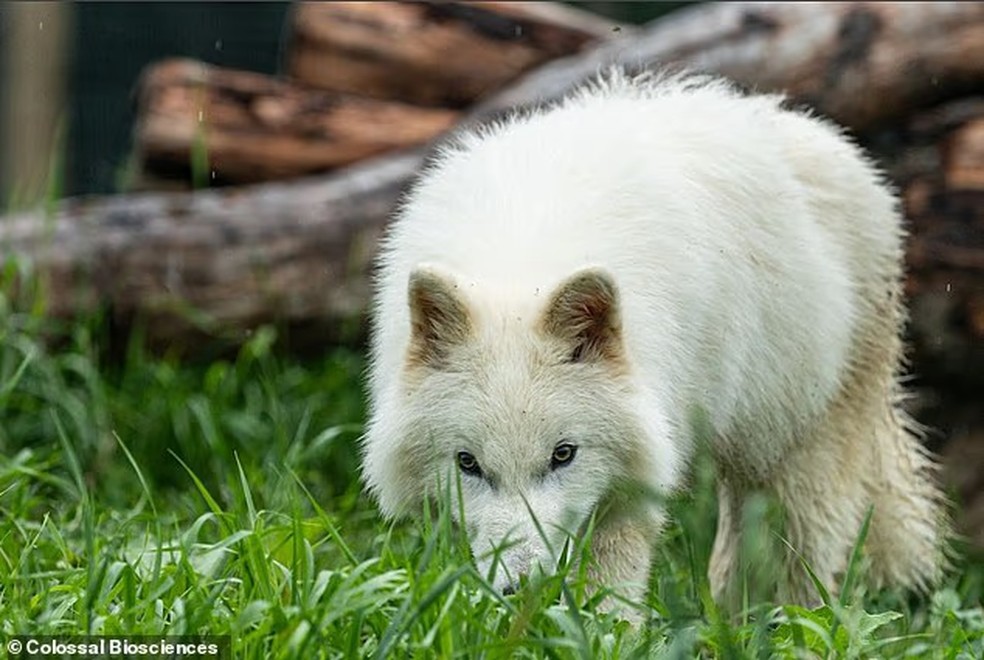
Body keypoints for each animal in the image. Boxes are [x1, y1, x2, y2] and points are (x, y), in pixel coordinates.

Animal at [362, 70, 947, 611]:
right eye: (468, 464)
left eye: (563, 455)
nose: (521, 586)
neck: (519, 257)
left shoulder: (633, 482)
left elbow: (611, 592)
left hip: (795, 449)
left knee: (798, 565)